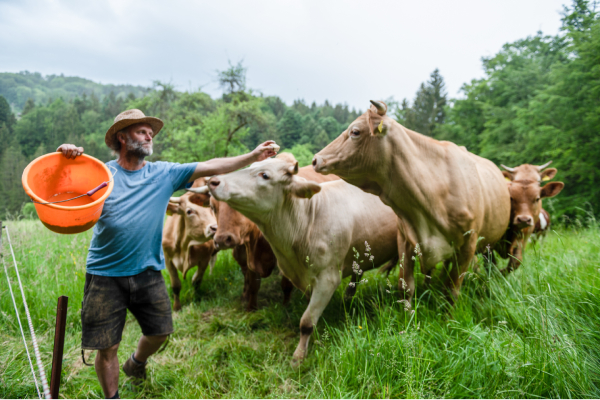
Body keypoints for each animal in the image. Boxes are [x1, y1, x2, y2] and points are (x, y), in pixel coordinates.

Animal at [163, 179, 219, 312]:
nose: (215, 228)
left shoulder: (204, 259)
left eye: (211, 208)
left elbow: (196, 280)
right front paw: (177, 307)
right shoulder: (168, 260)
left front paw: (195, 298)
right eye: (189, 211)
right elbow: (176, 285)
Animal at [314, 100, 510, 304]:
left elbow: (452, 290)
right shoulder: (405, 240)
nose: (316, 159)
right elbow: (406, 287)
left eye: (355, 132)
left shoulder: (468, 245)